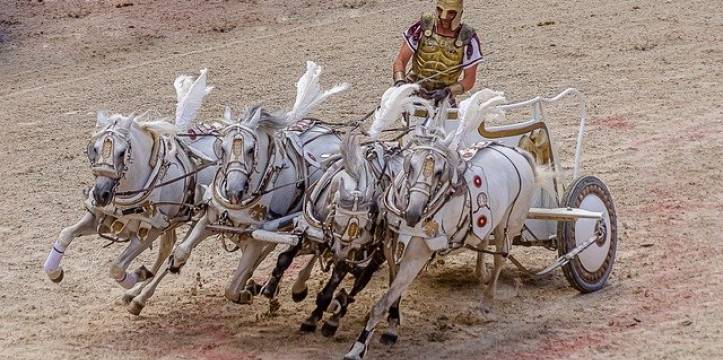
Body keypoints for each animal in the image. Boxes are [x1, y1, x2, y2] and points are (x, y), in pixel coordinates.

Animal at [42, 68, 216, 316]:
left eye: (123, 152)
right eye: (94, 149)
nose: (101, 194)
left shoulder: (150, 229)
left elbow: (116, 268)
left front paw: (138, 274)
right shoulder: (101, 216)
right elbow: (65, 234)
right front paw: (54, 272)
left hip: (206, 221)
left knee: (179, 254)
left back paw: (140, 296)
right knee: (169, 250)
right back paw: (135, 295)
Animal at [164, 61, 348, 306]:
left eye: (251, 149)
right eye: (222, 148)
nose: (233, 190)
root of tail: (333, 135)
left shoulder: (256, 235)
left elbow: (231, 289)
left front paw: (245, 292)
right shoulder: (212, 215)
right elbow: (182, 249)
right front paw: (174, 264)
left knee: (317, 246)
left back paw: (296, 287)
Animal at [344, 86, 536, 358]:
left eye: (439, 172)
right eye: (410, 166)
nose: (413, 214)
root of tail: (515, 152)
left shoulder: (417, 255)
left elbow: (382, 302)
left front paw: (358, 347)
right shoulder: (392, 248)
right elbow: (393, 290)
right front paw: (392, 326)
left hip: (510, 224)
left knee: (501, 258)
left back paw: (487, 302)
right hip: (491, 220)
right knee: (483, 241)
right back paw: (480, 274)